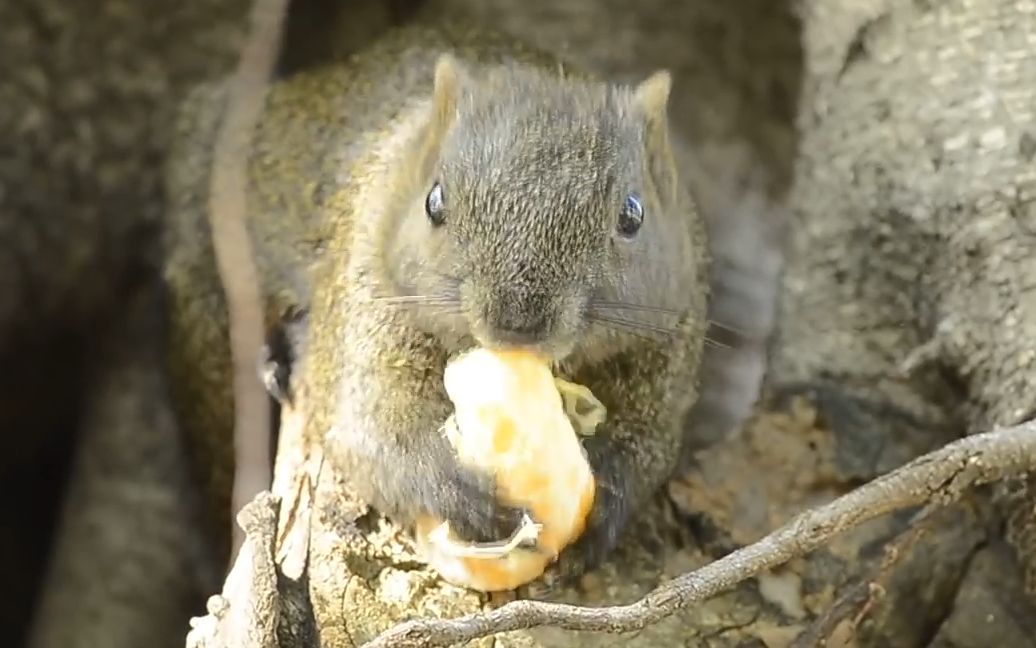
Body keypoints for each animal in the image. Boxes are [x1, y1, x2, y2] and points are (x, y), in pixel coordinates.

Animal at [161, 20, 708, 580]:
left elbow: (649, 442)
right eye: (434, 201)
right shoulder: (363, 301)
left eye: (632, 214)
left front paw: (604, 509)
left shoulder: (674, 334)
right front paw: (464, 499)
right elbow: (374, 429)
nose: (517, 322)